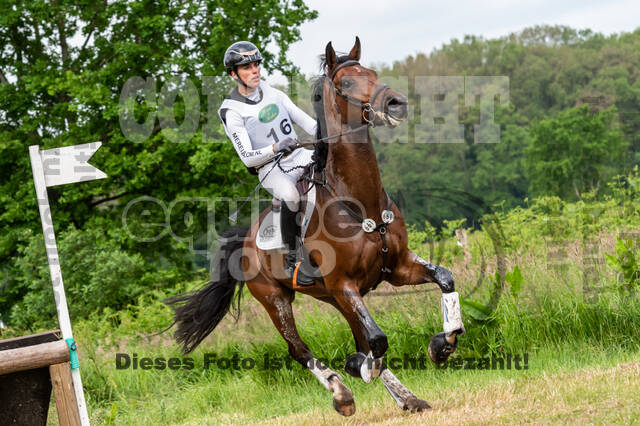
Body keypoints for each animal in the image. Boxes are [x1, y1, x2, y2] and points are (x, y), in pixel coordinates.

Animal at [168, 37, 465, 416]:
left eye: (373, 73)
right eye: (346, 83)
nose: (397, 104)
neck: (358, 200)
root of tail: (245, 238)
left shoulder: (396, 269)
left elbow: (444, 278)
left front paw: (442, 345)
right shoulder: (344, 284)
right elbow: (377, 340)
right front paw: (358, 367)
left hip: (331, 296)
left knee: (361, 338)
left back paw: (407, 397)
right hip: (277, 298)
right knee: (301, 349)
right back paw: (342, 393)